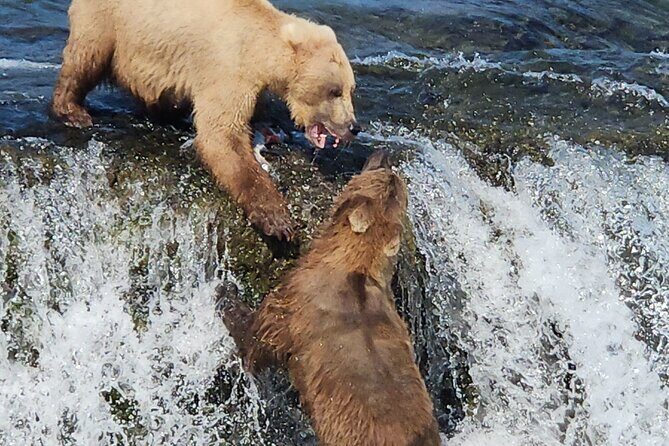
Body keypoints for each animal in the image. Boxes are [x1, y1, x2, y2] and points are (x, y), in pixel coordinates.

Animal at [52, 0, 360, 240]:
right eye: (335, 90)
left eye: (351, 89)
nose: (353, 127)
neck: (261, 49)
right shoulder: (228, 68)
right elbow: (222, 135)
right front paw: (278, 220)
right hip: (110, 22)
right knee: (86, 57)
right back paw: (73, 110)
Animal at [222, 151, 441, 446]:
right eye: (390, 177)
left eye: (383, 175)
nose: (383, 153)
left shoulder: (297, 302)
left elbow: (259, 339)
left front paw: (226, 295)